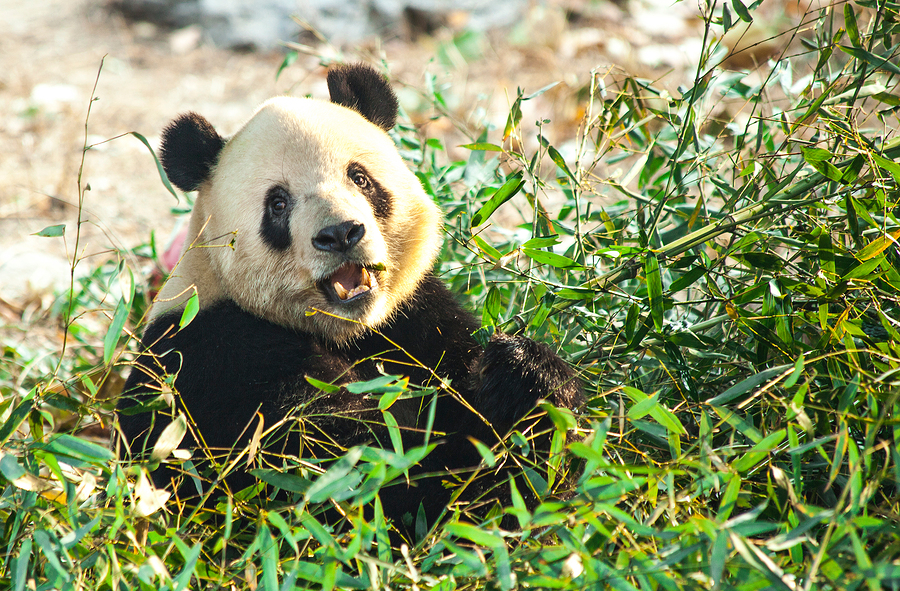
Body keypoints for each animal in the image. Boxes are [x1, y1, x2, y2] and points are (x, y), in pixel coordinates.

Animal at [118, 63, 584, 536]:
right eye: (278, 204)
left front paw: (526, 372)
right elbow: (386, 483)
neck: (344, 328)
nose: (340, 233)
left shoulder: (415, 317)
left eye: (359, 178)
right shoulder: (224, 364)